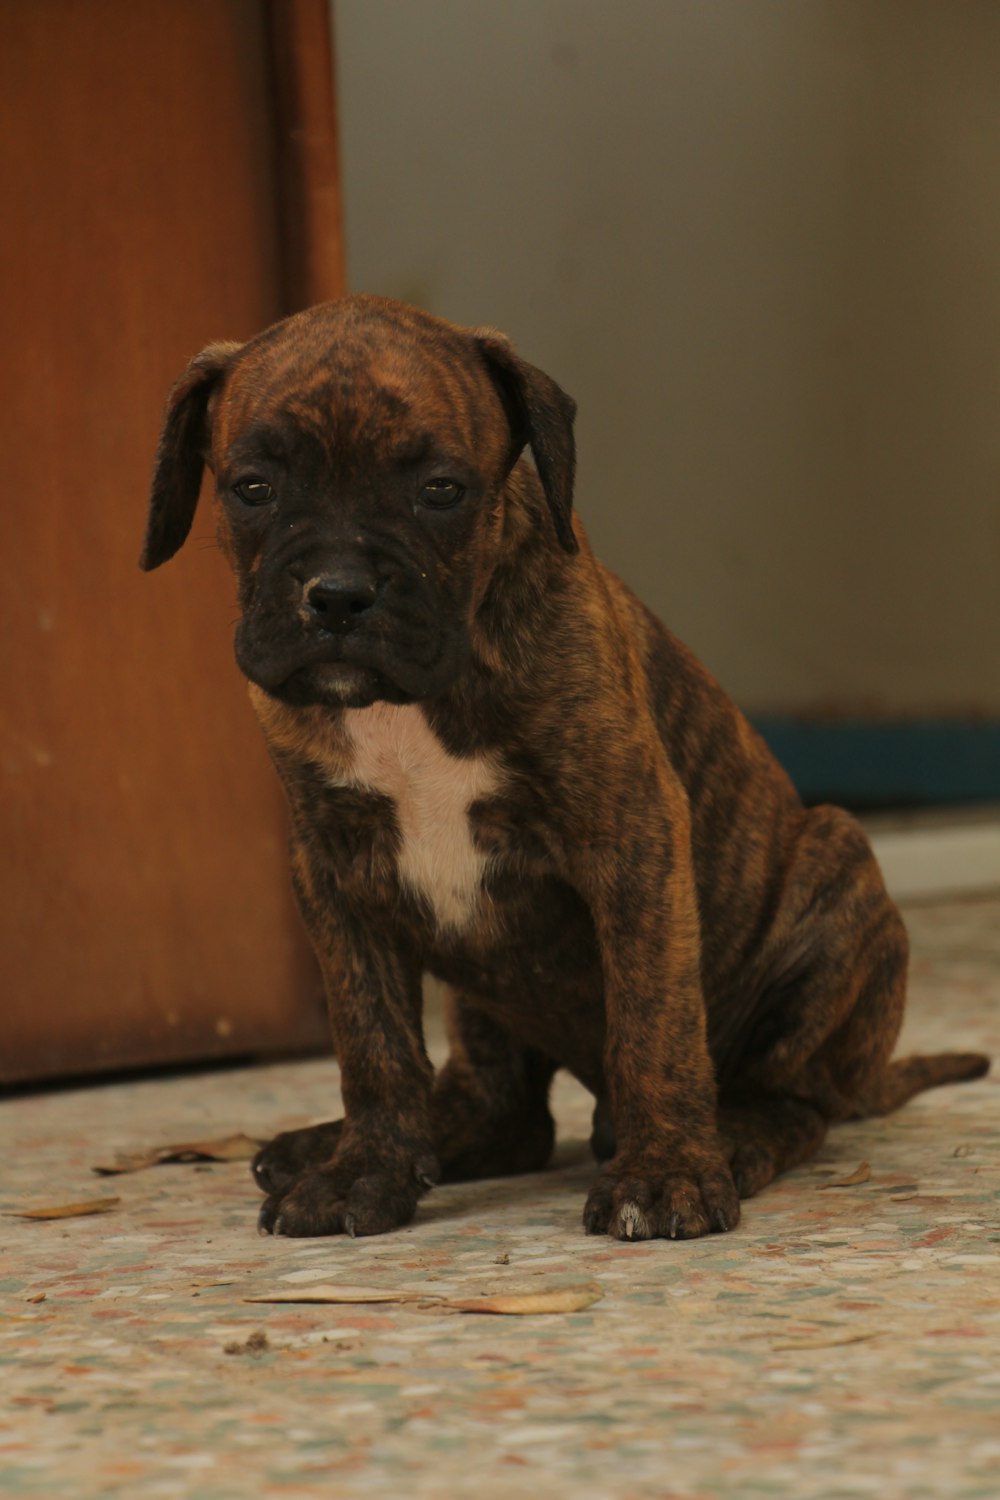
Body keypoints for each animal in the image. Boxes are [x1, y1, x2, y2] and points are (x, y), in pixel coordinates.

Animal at [138, 295, 983, 1242]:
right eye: (253, 488)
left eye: (442, 491)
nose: (339, 594)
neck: (412, 700)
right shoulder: (334, 869)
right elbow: (373, 1042)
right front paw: (363, 1170)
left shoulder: (632, 833)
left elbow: (652, 1020)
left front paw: (666, 1173)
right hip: (482, 995)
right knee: (502, 1111)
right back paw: (341, 1143)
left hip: (836, 873)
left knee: (794, 1101)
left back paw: (730, 1137)